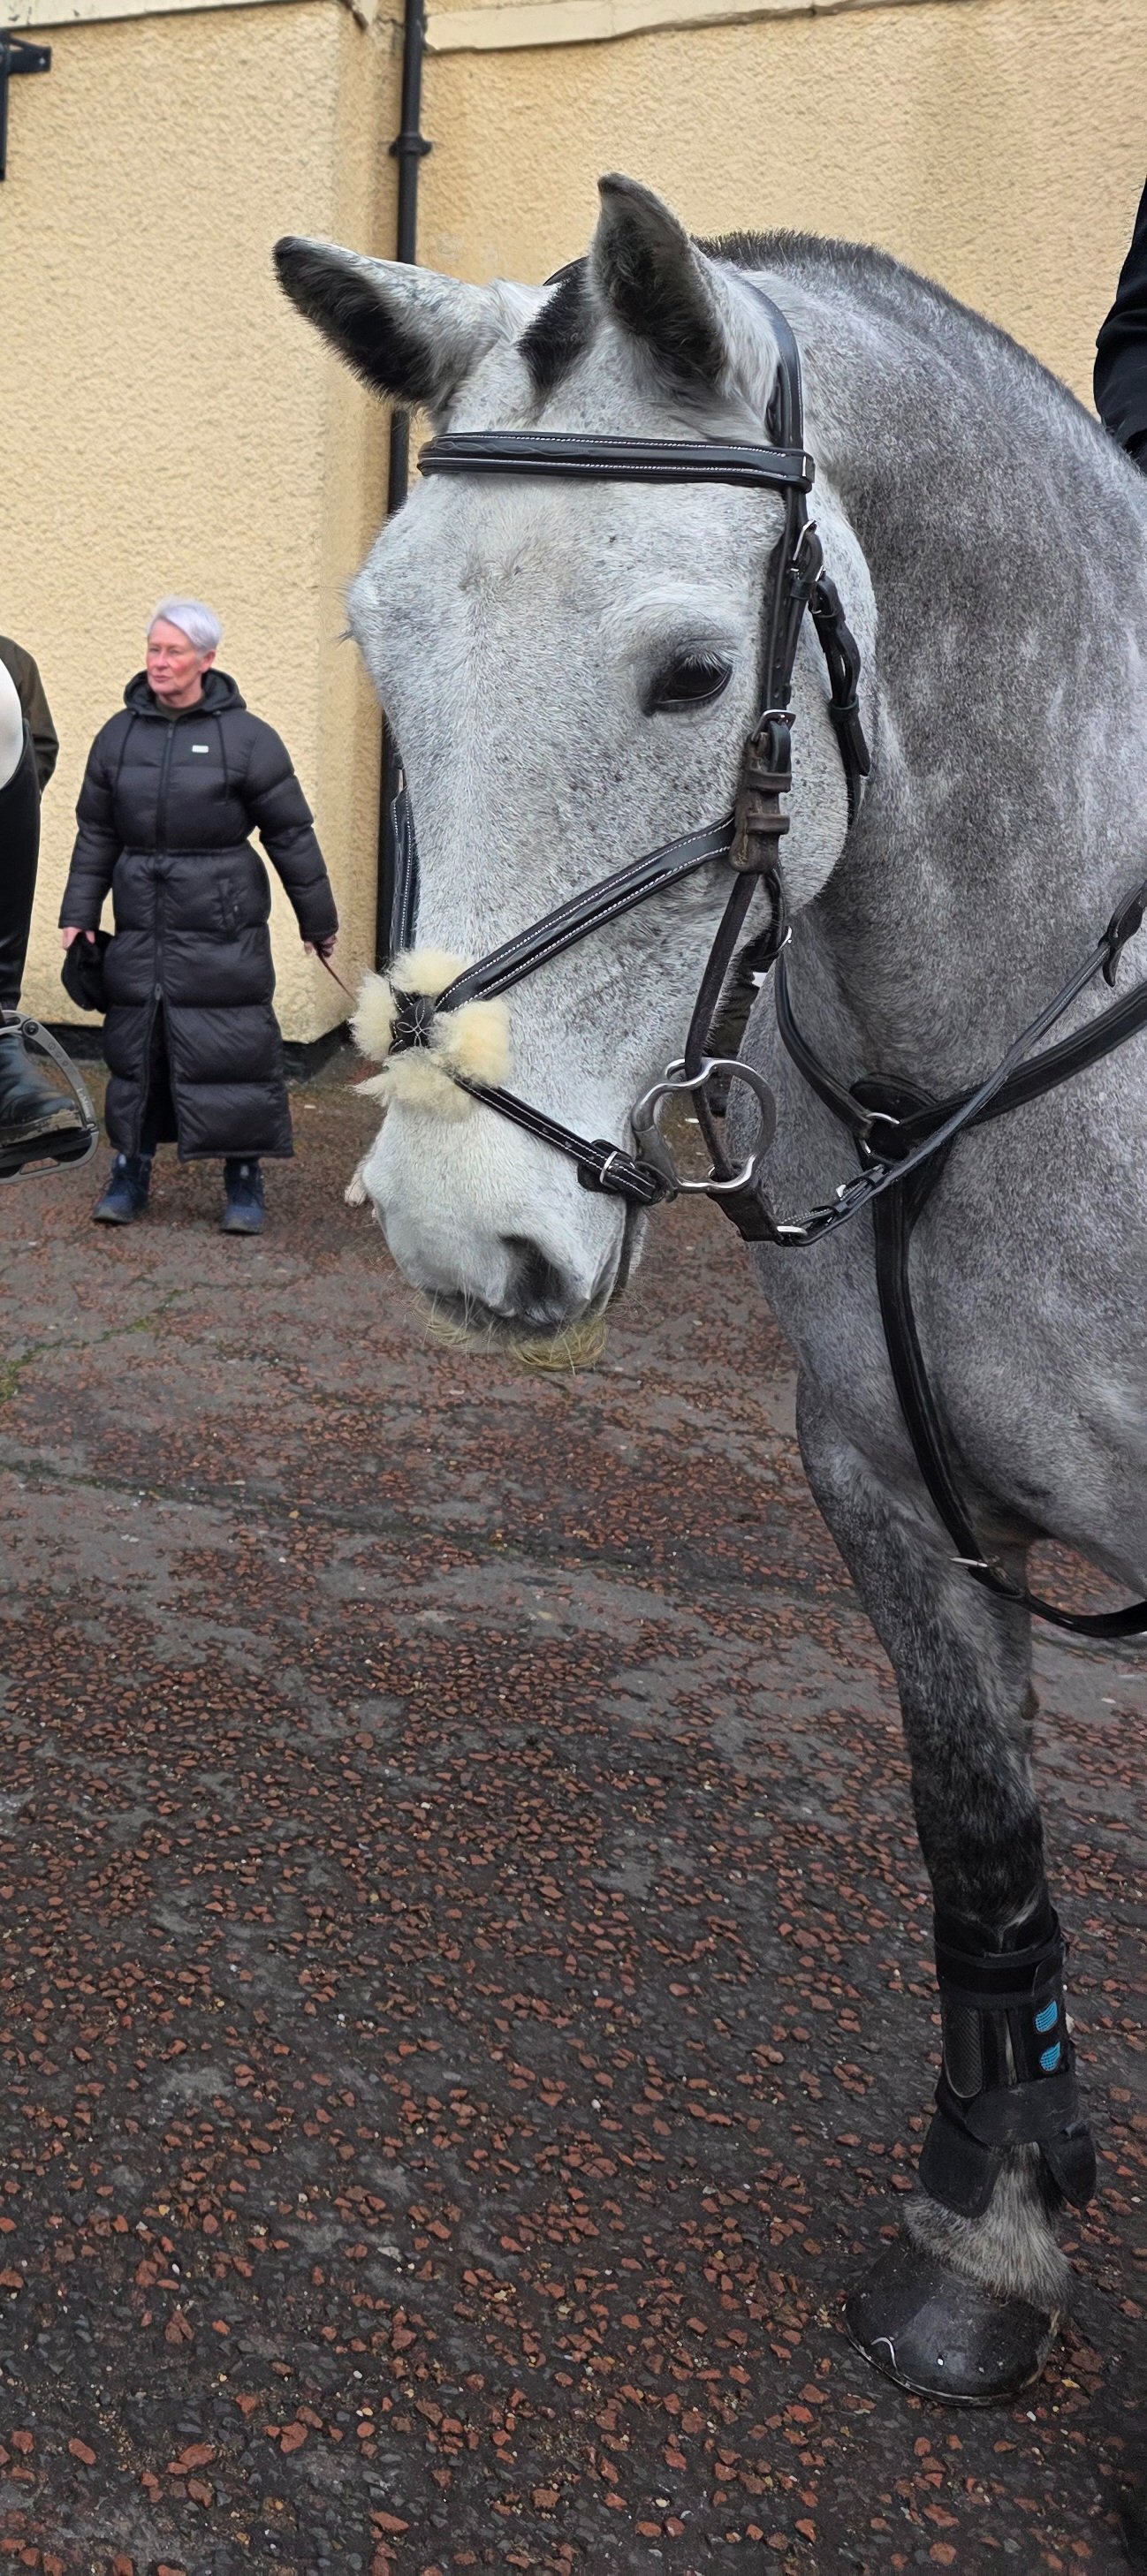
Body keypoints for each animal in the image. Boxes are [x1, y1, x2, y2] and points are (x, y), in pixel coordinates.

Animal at [274, 174, 1147, 2407]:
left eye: (686, 678)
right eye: (379, 648)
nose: (459, 1227)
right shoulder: (894, 1497)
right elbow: (982, 1845)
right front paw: (986, 2240)